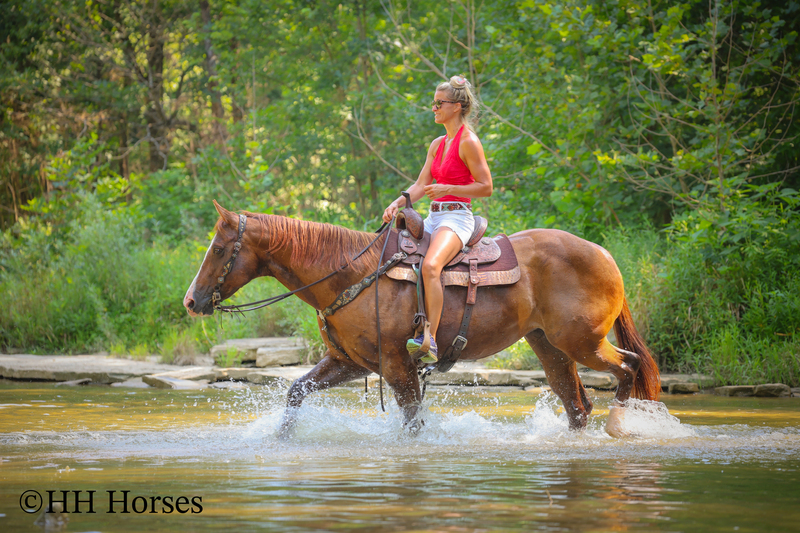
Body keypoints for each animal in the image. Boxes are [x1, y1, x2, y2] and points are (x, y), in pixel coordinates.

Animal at [183, 201, 660, 438]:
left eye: (220, 249)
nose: (191, 301)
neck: (350, 274)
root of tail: (604, 254)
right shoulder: (349, 362)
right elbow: (296, 391)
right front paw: (278, 440)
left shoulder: (397, 364)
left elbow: (412, 422)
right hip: (549, 346)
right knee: (577, 406)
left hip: (583, 342)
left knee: (629, 367)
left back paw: (622, 425)